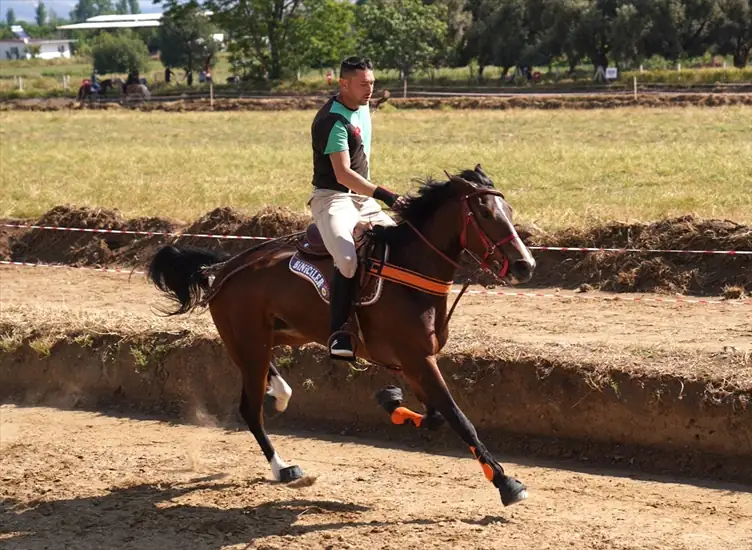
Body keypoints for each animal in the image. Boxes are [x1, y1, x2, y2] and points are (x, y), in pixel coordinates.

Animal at [147, 165, 536, 508]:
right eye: (485, 213)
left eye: (509, 210)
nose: (525, 265)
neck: (411, 272)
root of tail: (222, 267)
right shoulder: (418, 359)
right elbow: (459, 419)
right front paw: (506, 483)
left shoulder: (416, 362)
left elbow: (436, 415)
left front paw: (391, 400)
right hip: (249, 342)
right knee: (250, 409)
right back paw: (283, 467)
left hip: (281, 334)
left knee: (268, 374)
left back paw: (280, 392)